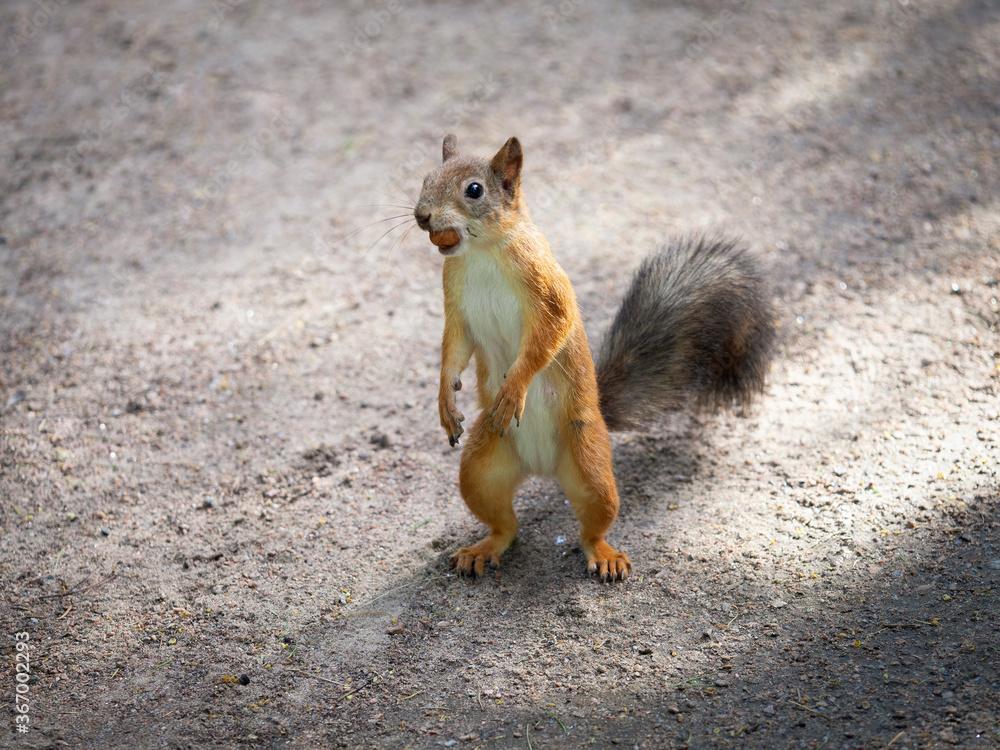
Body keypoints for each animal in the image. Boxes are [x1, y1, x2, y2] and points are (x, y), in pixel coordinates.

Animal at [412, 134, 775, 581]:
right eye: (425, 179)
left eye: (474, 190)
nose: (422, 216)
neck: (481, 252)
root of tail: (542, 468)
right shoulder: (456, 304)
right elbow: (454, 349)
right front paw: (445, 401)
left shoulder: (546, 289)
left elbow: (547, 337)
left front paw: (514, 388)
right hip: (481, 468)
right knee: (505, 525)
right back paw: (484, 547)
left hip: (590, 462)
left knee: (593, 525)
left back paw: (604, 555)